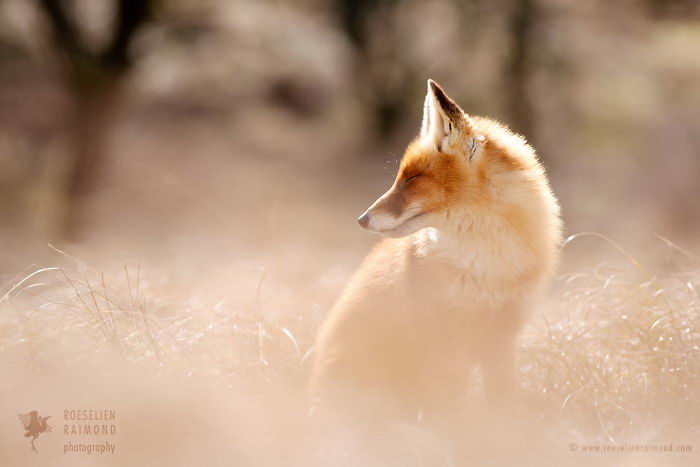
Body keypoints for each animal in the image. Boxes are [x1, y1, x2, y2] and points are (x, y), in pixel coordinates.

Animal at [312, 78, 564, 422]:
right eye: (400, 178)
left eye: (413, 179)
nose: (361, 219)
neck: (488, 265)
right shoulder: (446, 345)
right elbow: (452, 413)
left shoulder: (501, 340)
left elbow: (501, 405)